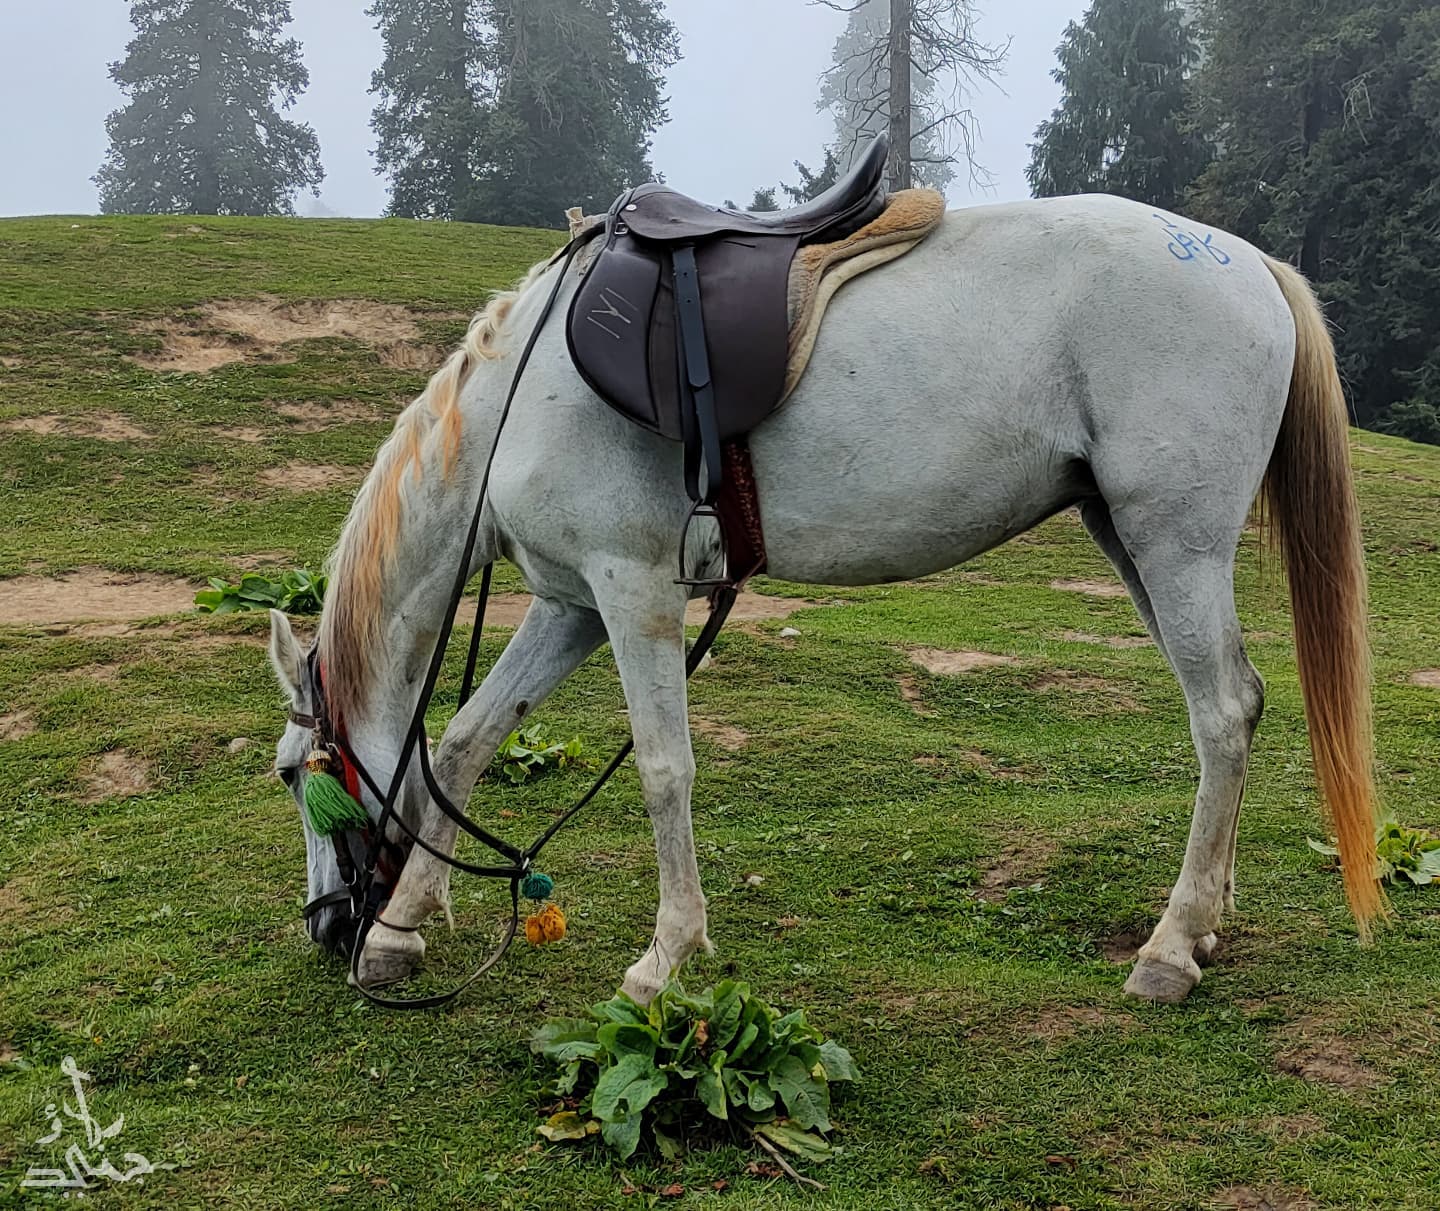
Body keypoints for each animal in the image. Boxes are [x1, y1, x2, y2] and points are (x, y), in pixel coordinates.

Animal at [267, 192, 1382, 1008]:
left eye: (289, 773)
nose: (328, 927)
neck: (524, 390)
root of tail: (1246, 262)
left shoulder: (633, 591)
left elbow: (664, 769)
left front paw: (667, 955)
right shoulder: (571, 603)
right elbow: (464, 743)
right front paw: (402, 929)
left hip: (1173, 542)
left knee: (1220, 714)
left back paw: (1169, 944)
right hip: (1131, 538)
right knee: (1242, 701)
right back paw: (1206, 916)